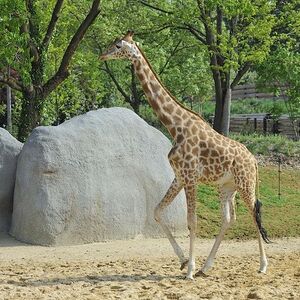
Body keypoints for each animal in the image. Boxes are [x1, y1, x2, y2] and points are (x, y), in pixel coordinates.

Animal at [99, 30, 270, 278]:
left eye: (118, 45)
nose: (102, 55)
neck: (175, 126)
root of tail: (255, 160)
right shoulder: (179, 176)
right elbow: (157, 211)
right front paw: (183, 261)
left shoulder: (190, 177)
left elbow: (192, 222)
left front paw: (189, 269)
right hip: (227, 187)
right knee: (229, 219)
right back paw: (207, 268)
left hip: (245, 183)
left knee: (254, 215)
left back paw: (262, 265)